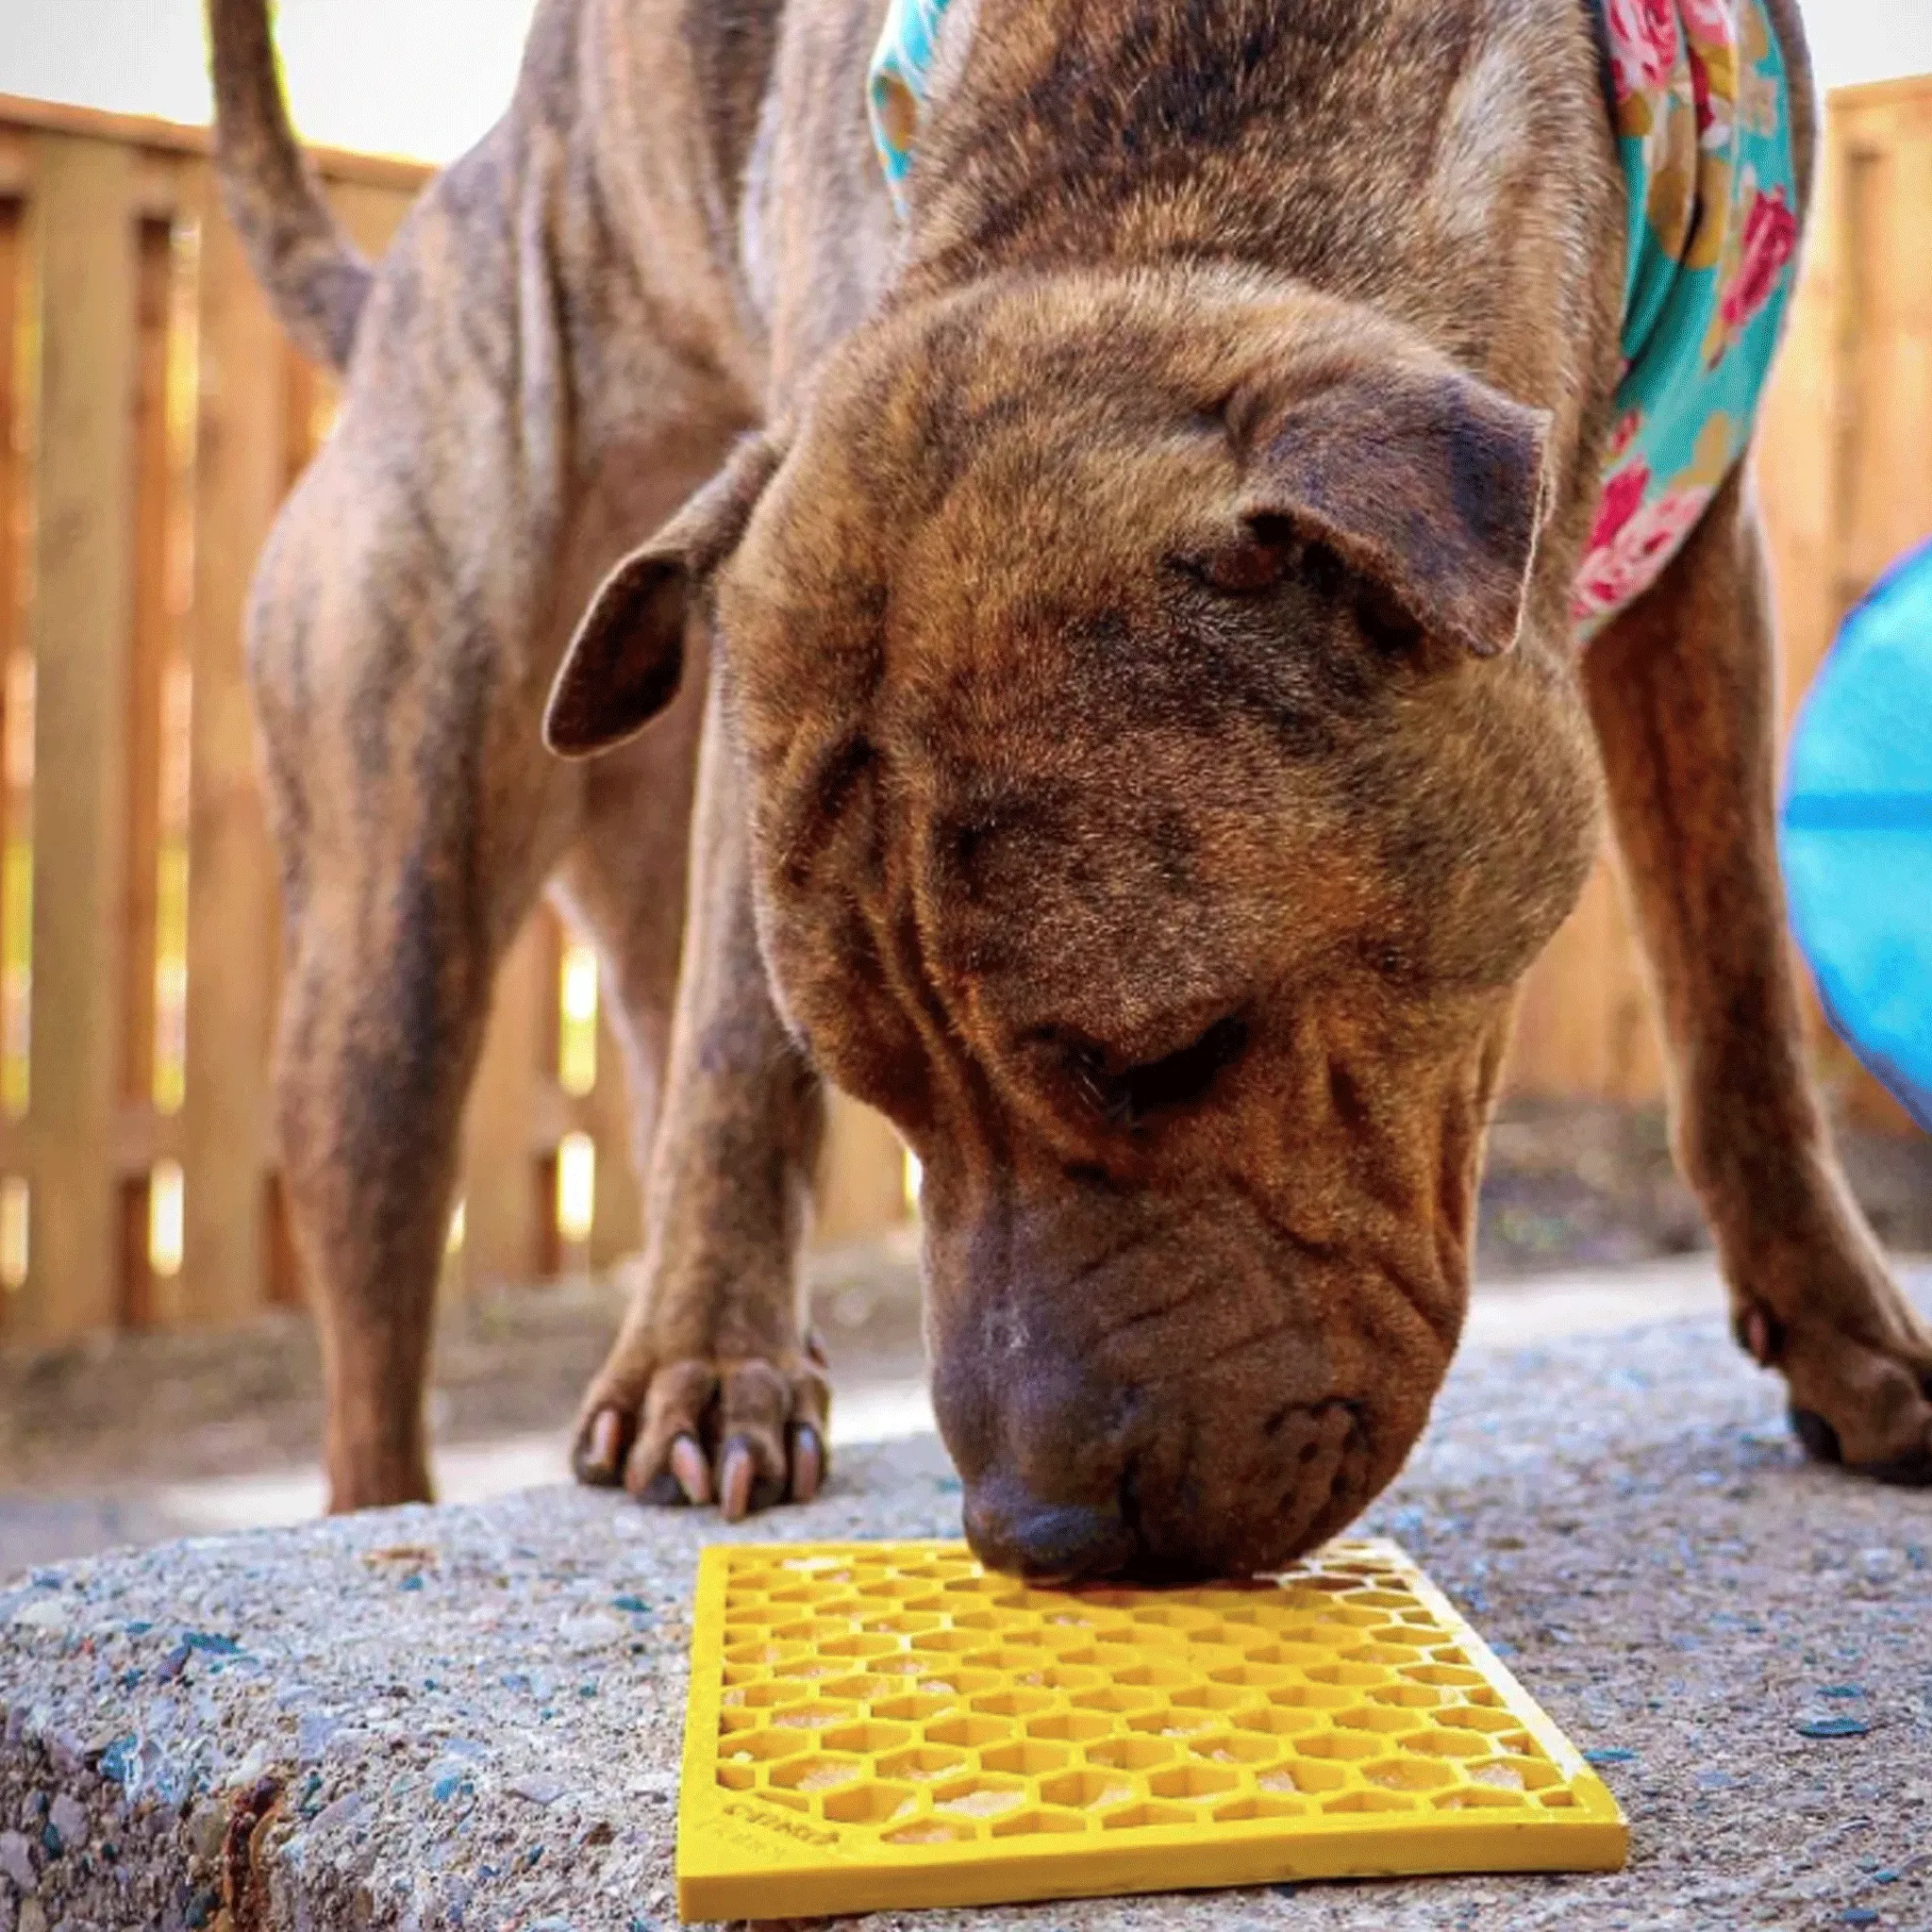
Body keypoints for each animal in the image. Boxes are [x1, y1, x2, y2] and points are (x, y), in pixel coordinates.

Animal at [211, 0, 1932, 1576]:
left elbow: (1733, 986)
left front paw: (1850, 1330)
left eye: (1169, 1056)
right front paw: (705, 1365)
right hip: (387, 962)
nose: (1030, 1532)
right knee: (388, 1299)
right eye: (884, 1093)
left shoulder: (1703, 554)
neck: (1160, 189)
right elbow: (737, 1053)